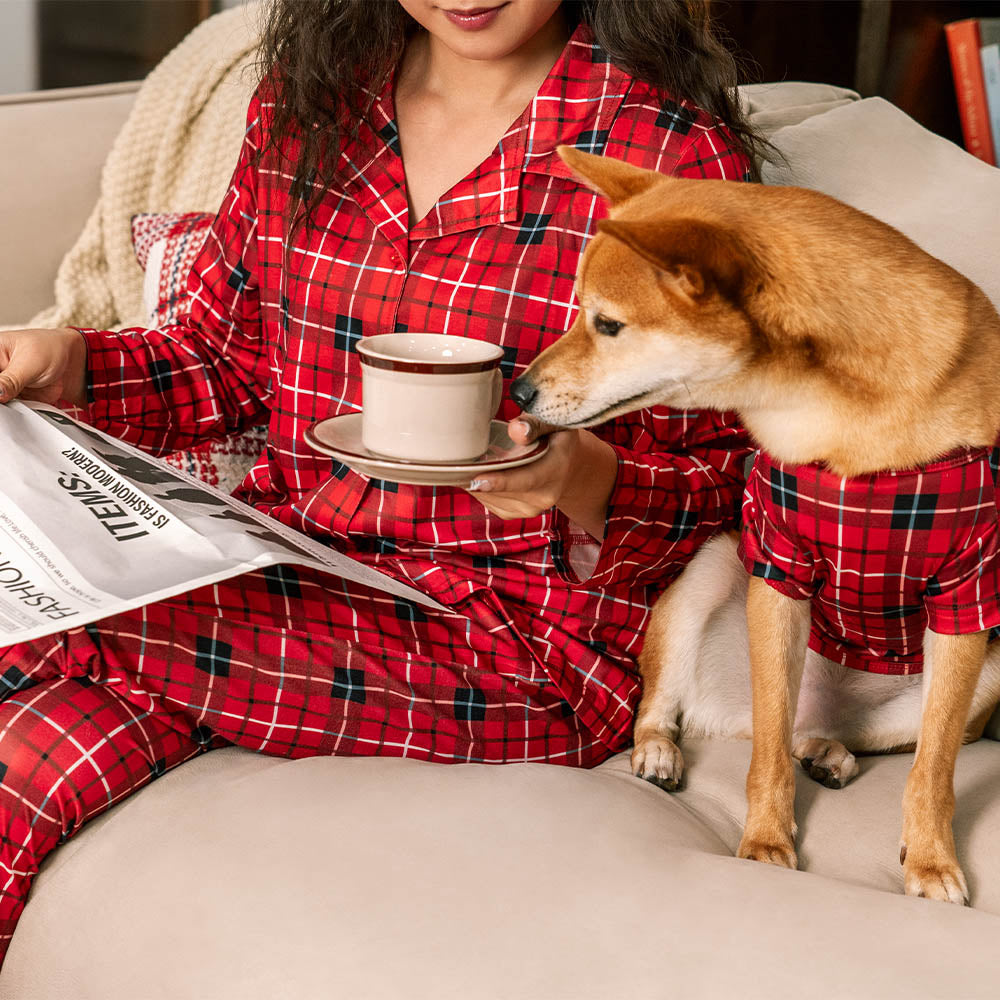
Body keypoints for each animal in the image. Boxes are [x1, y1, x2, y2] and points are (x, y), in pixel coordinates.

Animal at [516, 145, 1000, 904]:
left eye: (608, 325)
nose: (519, 390)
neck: (848, 429)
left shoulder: (967, 595)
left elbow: (934, 770)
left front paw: (929, 861)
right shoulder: (779, 569)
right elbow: (767, 752)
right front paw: (766, 844)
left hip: (984, 677)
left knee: (850, 733)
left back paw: (827, 750)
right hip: (712, 566)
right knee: (683, 709)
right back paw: (662, 751)